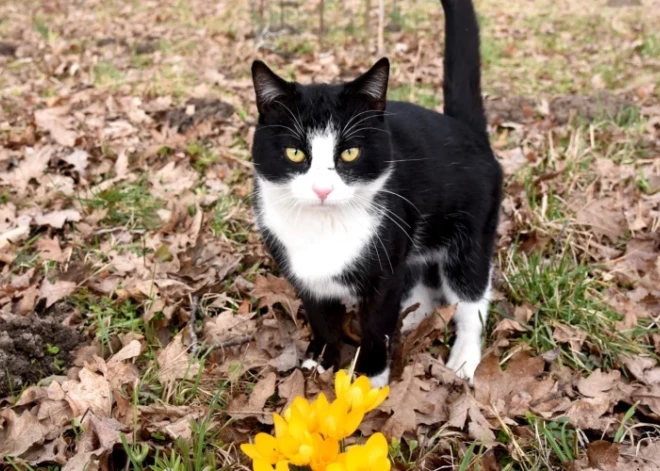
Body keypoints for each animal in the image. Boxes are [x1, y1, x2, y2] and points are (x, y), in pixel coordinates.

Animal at [250, 0, 502, 388]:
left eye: (349, 153)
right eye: (295, 153)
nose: (322, 188)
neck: (323, 229)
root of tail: (466, 128)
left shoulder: (385, 265)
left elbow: (375, 325)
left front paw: (368, 379)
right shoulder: (305, 274)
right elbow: (321, 318)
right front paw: (319, 362)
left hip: (472, 228)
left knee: (471, 294)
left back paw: (462, 358)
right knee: (423, 279)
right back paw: (413, 318)